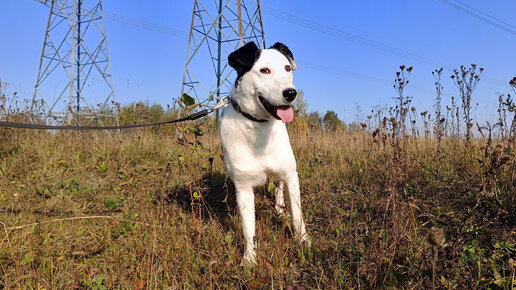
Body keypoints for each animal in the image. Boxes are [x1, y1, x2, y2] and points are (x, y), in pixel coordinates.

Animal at [219, 41, 308, 266]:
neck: (258, 126)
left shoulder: (291, 175)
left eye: (287, 68)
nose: (291, 93)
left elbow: (297, 214)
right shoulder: (243, 188)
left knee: (279, 187)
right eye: (264, 70)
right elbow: (248, 229)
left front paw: (303, 242)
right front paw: (249, 259)